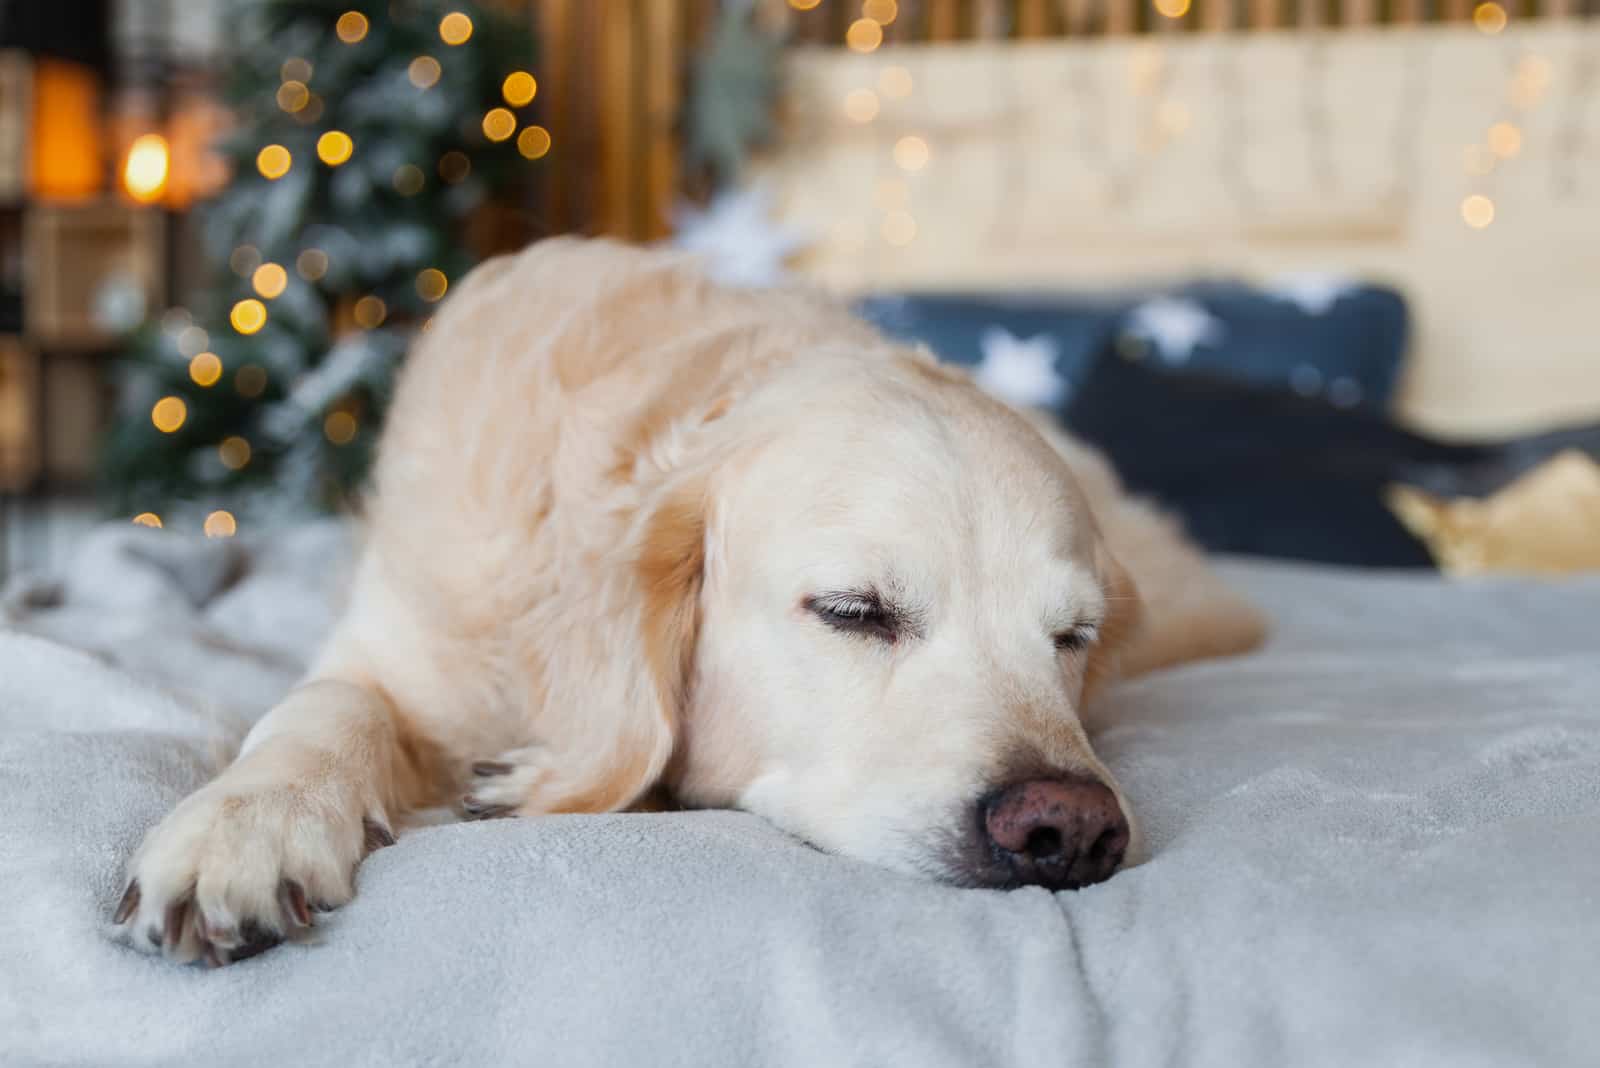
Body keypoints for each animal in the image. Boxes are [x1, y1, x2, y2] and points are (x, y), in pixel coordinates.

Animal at [109, 238, 1260, 965]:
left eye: (1072, 638)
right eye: (853, 611)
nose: (1069, 830)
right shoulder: (395, 641)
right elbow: (323, 708)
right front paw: (246, 824)